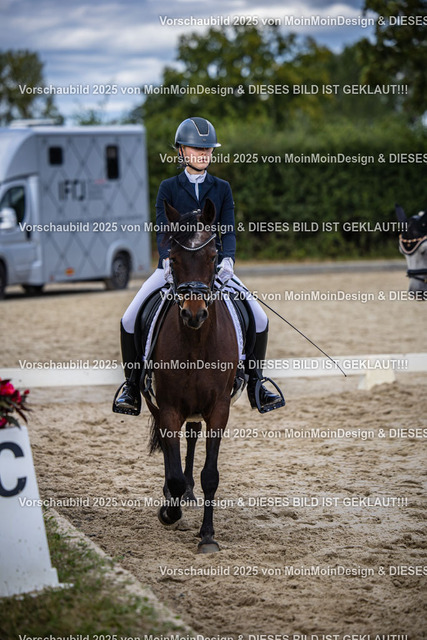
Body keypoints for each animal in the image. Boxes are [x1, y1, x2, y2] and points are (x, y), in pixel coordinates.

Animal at [141, 199, 239, 553]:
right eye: (173, 258)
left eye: (212, 256)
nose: (193, 314)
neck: (196, 342)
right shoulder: (168, 407)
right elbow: (172, 473)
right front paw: (169, 512)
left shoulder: (219, 409)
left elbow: (211, 474)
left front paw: (207, 536)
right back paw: (176, 497)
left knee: (192, 435)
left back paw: (188, 493)